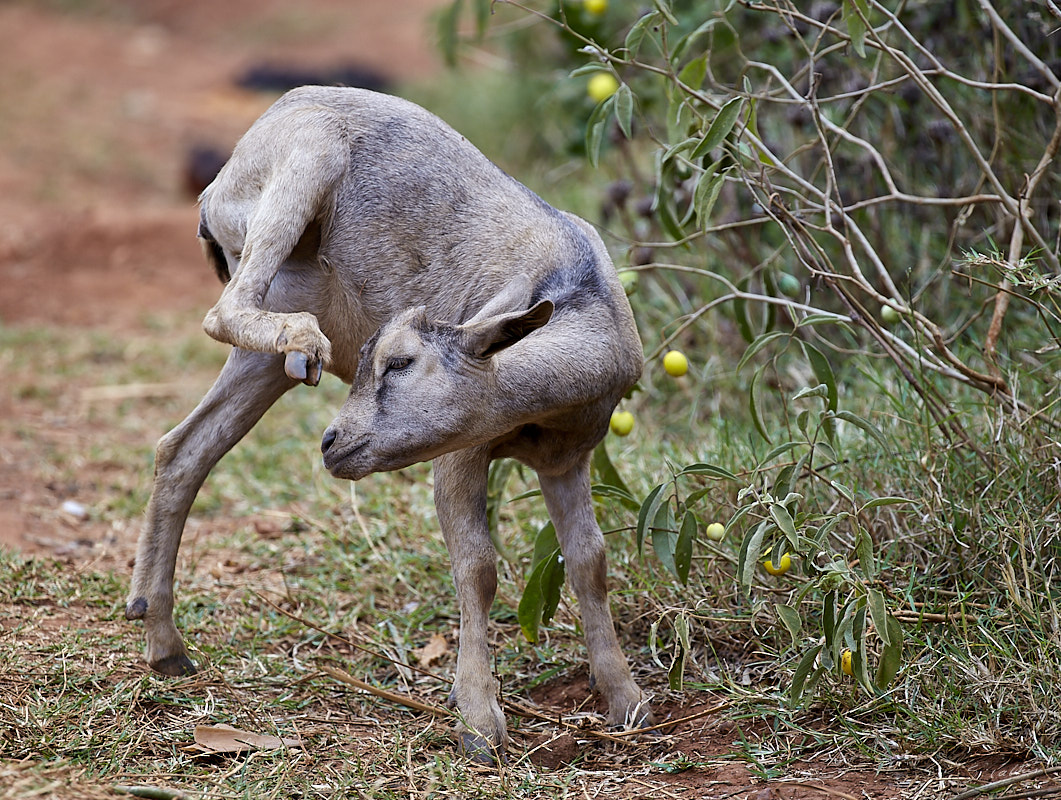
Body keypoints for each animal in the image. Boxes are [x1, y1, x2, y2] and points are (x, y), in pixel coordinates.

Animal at [128, 85, 649, 755]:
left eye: (400, 361)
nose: (333, 442)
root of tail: (213, 190)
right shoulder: (459, 454)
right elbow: (478, 568)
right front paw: (479, 719)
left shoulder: (567, 459)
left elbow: (589, 561)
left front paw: (627, 699)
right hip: (302, 163)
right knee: (222, 313)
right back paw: (302, 338)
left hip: (268, 346)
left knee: (183, 448)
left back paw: (163, 640)